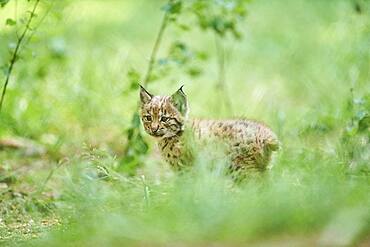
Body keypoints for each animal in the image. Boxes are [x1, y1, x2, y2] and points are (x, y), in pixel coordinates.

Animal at [140, 86, 278, 173]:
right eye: (148, 118)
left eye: (164, 119)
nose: (154, 129)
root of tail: (265, 132)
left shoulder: (186, 170)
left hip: (241, 168)